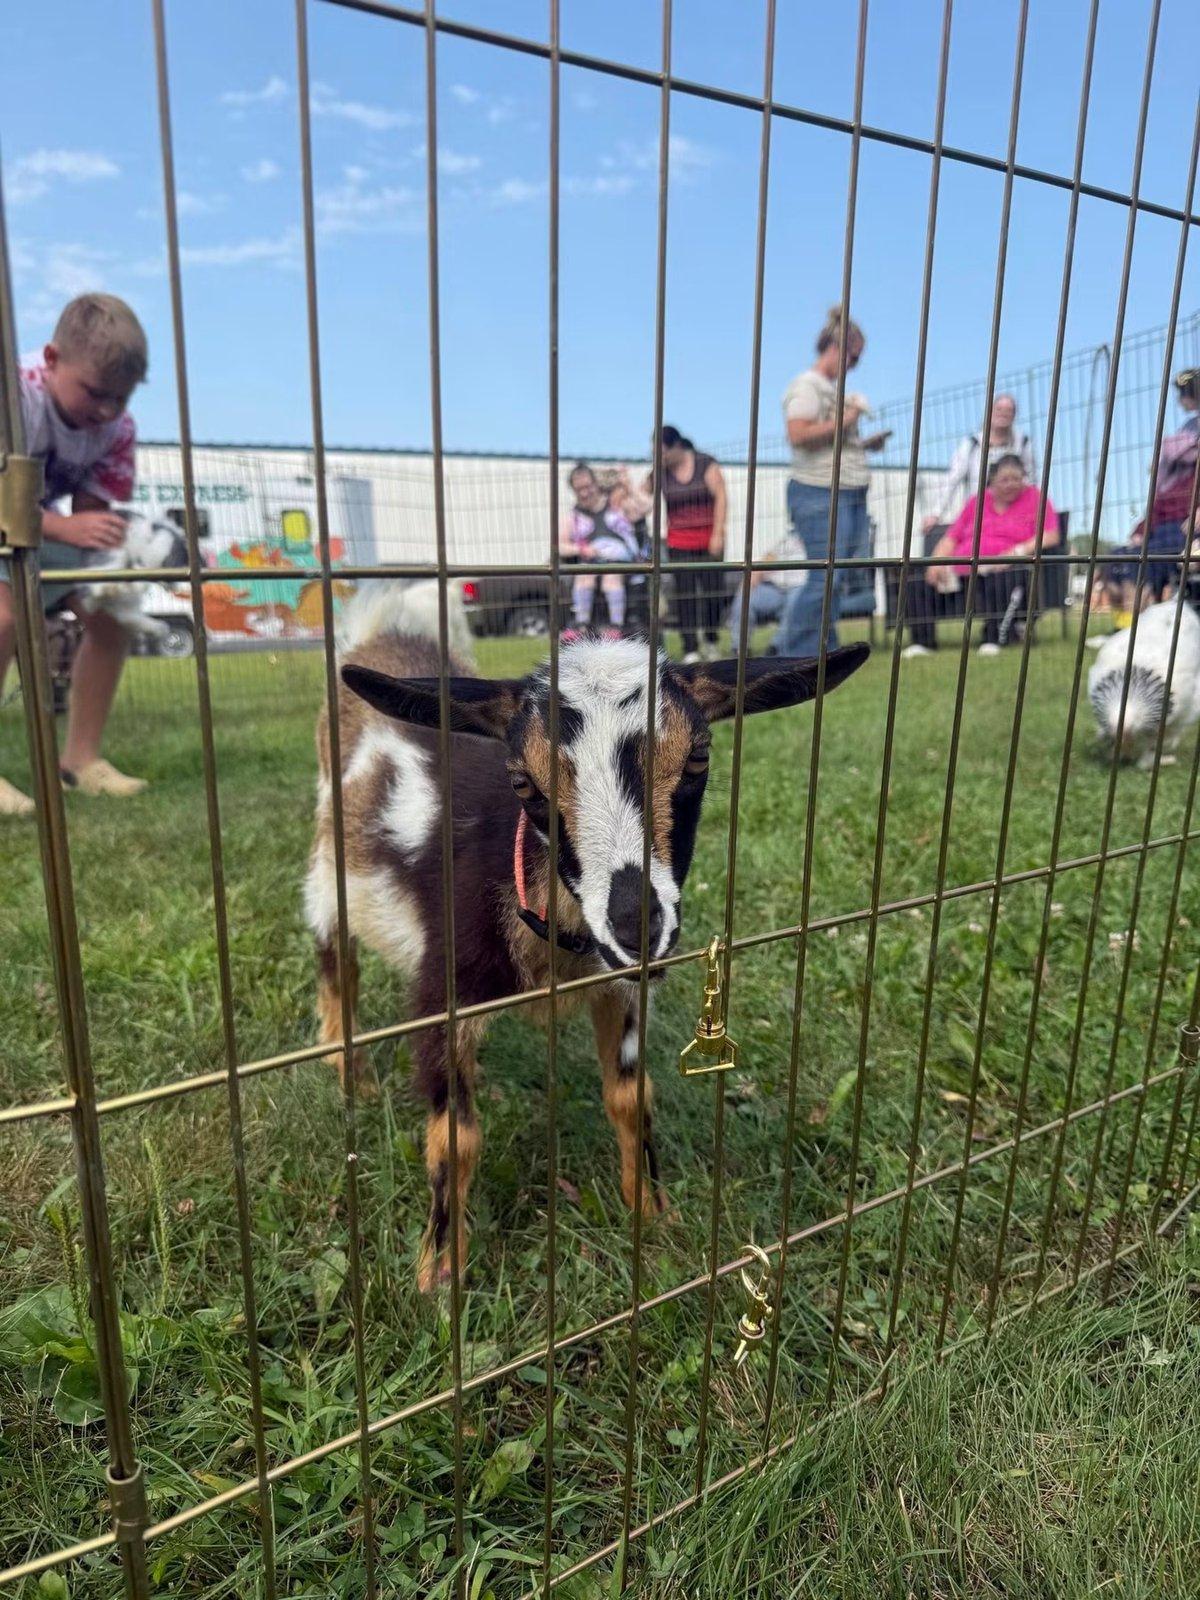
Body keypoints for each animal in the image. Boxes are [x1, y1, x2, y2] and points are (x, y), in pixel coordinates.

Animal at [305, 582, 868, 1290]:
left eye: (699, 757)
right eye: (523, 781)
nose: (637, 927)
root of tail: (388, 633)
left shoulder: (619, 989)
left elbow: (631, 1097)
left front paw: (652, 1214)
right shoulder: (441, 993)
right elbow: (455, 1138)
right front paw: (438, 1273)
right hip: (328, 869)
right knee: (335, 959)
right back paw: (345, 1068)